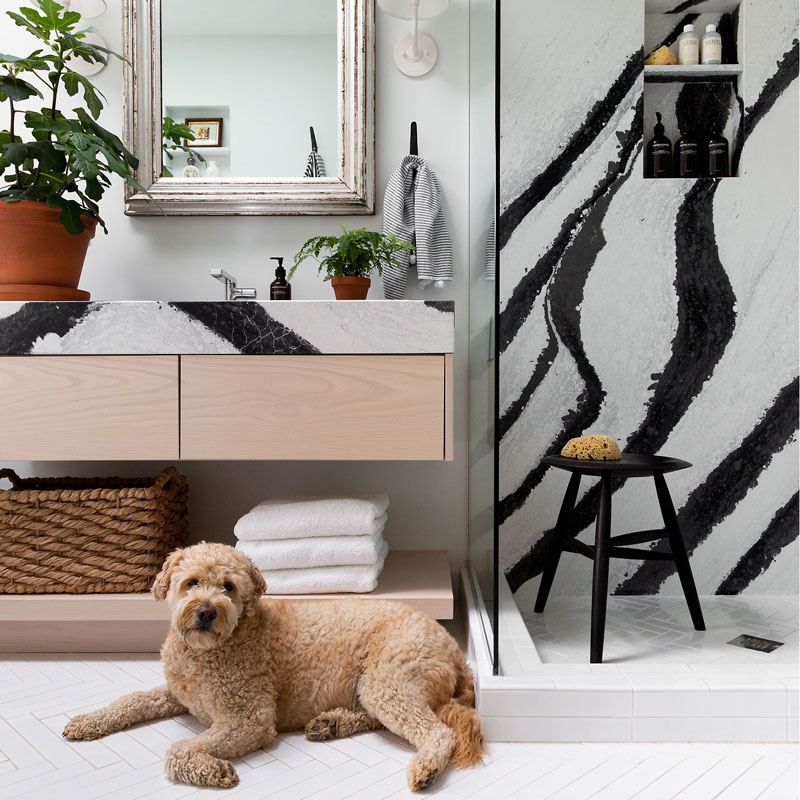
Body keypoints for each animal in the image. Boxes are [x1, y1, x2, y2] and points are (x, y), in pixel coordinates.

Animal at [62, 540, 482, 792]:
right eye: (191, 582)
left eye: (228, 586)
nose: (206, 612)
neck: (213, 648)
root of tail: (454, 649)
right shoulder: (176, 694)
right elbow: (130, 700)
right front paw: (85, 722)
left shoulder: (250, 719)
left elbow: (178, 750)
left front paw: (214, 769)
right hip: (374, 688)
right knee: (385, 718)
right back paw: (330, 724)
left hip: (389, 682)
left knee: (436, 731)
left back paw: (424, 769)